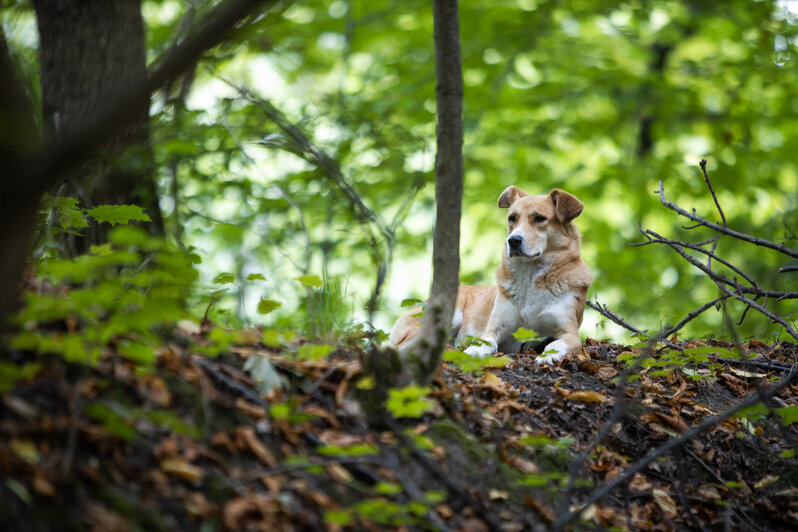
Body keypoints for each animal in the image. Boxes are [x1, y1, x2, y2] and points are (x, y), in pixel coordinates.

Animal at [392, 185, 592, 364]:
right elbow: (485, 341)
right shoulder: (495, 328)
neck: (530, 275)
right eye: (512, 218)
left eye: (539, 218)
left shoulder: (570, 333)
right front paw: (473, 350)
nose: (513, 240)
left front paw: (548, 355)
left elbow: (555, 344)